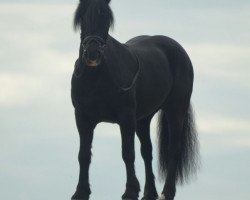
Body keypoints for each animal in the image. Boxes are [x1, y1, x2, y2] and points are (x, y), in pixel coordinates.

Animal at [71, 0, 199, 200]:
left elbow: (127, 153)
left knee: (173, 149)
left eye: (106, 18)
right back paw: (149, 193)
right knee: (147, 151)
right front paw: (80, 192)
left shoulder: (126, 118)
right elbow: (83, 155)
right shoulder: (82, 118)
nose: (92, 54)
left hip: (175, 110)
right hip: (143, 120)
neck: (98, 78)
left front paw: (130, 190)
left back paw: (167, 192)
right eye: (82, 17)